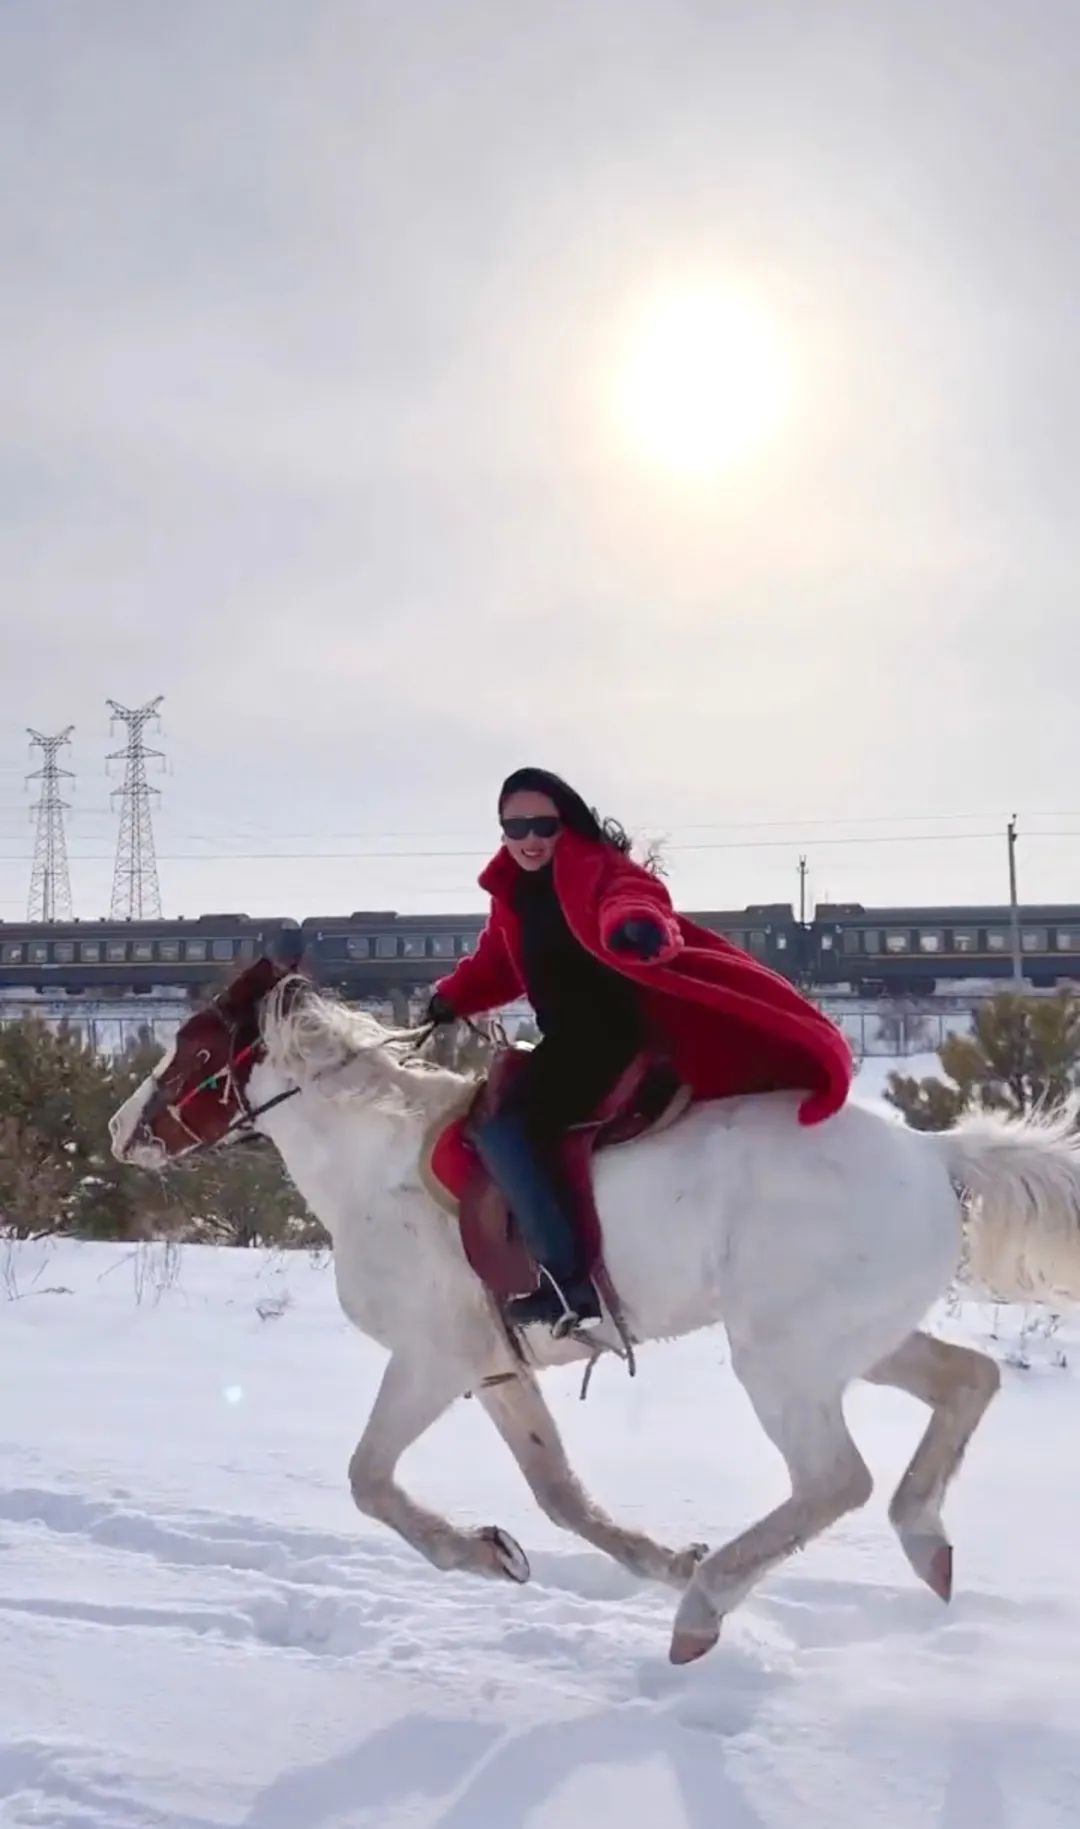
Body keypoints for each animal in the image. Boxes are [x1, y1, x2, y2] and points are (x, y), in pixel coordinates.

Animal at [108, 980, 1080, 1668]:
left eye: (196, 1047)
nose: (121, 1127)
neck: (372, 1164)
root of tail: (935, 1154)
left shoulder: (430, 1360)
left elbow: (370, 1481)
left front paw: (481, 1548)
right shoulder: (496, 1367)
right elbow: (560, 1493)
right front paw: (601, 1553)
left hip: (783, 1360)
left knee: (837, 1478)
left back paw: (703, 1611)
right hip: (851, 1343)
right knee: (968, 1380)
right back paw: (924, 1545)